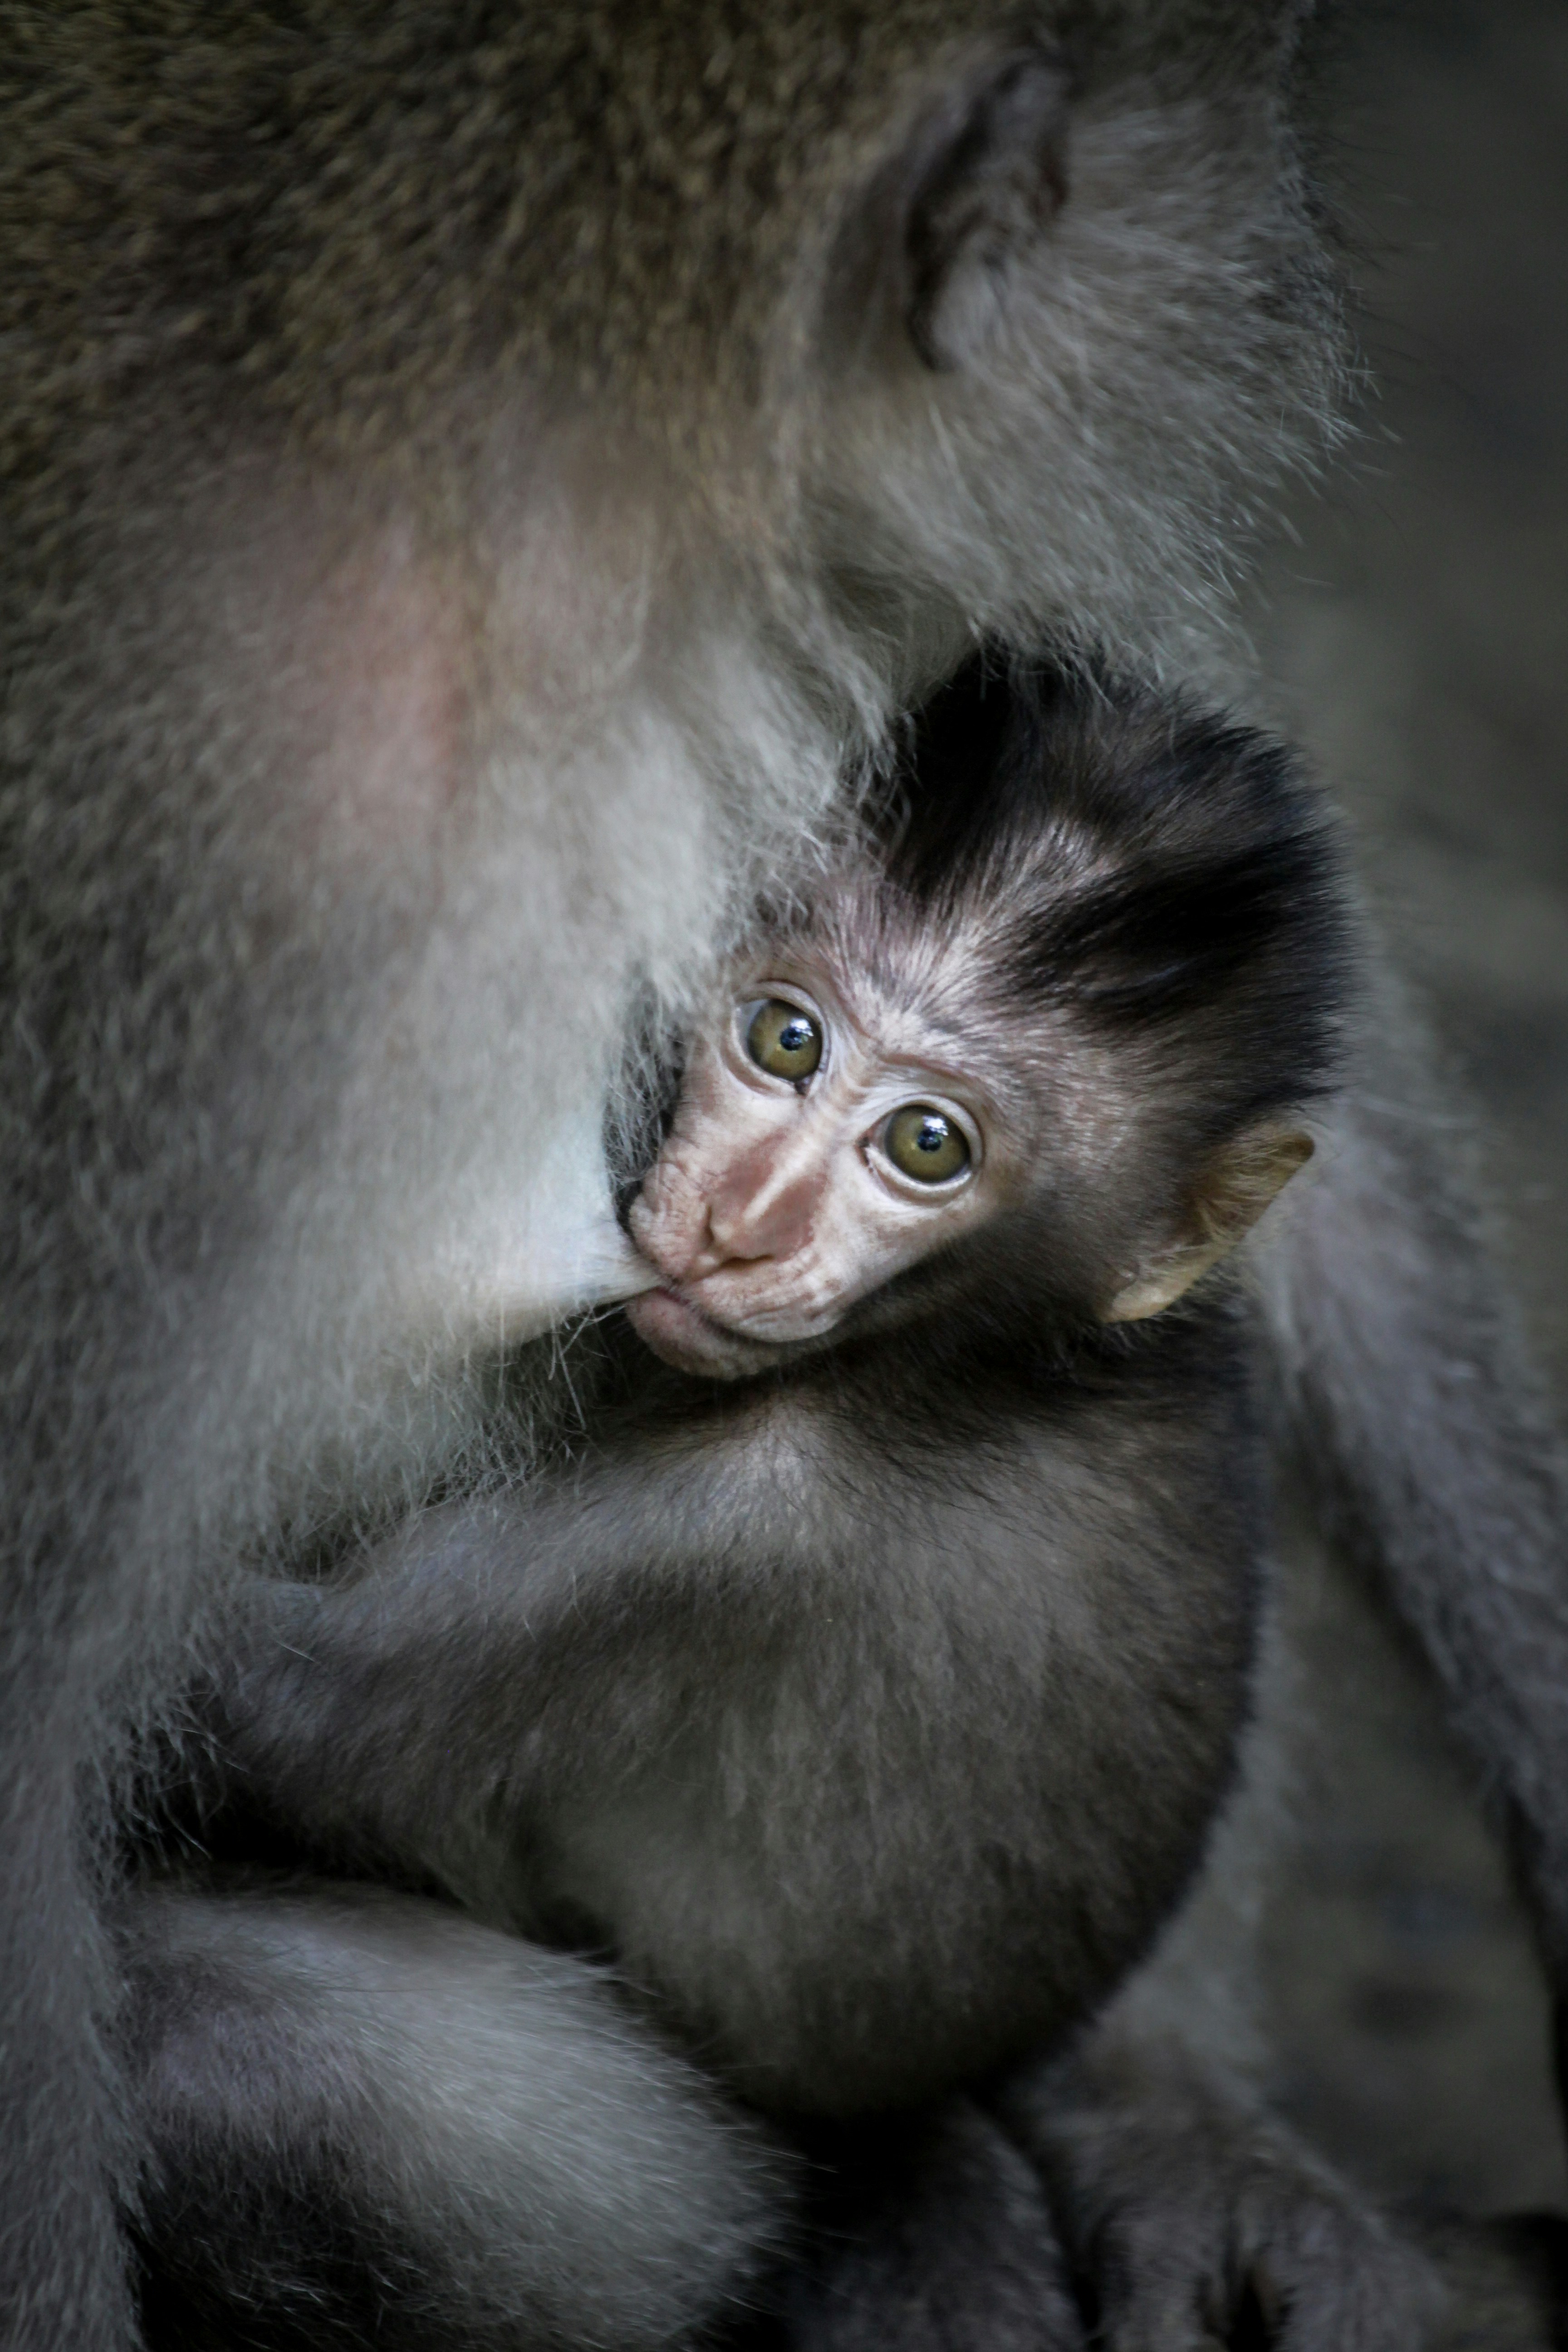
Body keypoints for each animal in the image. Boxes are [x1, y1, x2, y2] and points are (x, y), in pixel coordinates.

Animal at [132, 672, 1354, 2342]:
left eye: (926, 1145)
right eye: (785, 1038)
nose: (741, 1220)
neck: (971, 1359)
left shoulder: (724, 1540)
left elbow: (237, 1698)